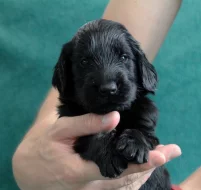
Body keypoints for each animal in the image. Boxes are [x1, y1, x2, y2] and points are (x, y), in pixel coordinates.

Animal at [51, 18, 171, 189]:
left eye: (124, 57)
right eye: (84, 61)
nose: (108, 89)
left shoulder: (147, 122)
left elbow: (142, 131)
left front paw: (134, 144)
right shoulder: (75, 128)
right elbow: (94, 136)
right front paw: (109, 154)